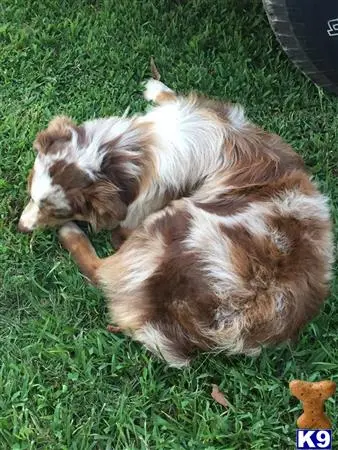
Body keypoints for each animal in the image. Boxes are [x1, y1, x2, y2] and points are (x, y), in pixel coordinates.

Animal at [17, 79, 332, 368]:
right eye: (30, 193)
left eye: (57, 211)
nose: (21, 228)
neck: (131, 153)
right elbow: (172, 97)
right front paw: (155, 87)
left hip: (168, 226)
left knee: (100, 271)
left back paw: (73, 237)